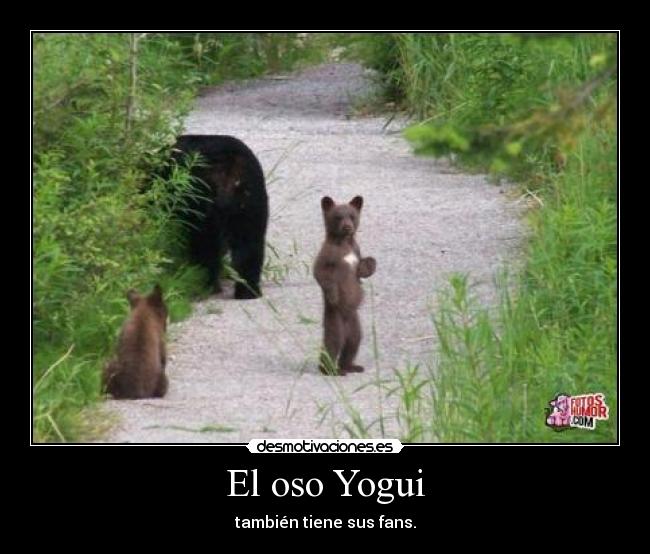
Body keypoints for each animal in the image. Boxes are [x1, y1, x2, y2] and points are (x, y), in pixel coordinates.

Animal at [171, 135, 268, 299]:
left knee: (205, 243)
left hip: (200, 195)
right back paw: (248, 291)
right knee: (251, 243)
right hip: (252, 197)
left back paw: (204, 285)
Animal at [313, 195, 376, 376]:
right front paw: (333, 295)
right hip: (335, 321)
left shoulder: (356, 250)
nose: (347, 227)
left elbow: (363, 266)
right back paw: (330, 370)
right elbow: (321, 273)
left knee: (353, 343)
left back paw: (351, 366)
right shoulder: (327, 254)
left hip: (355, 324)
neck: (344, 244)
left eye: (352, 216)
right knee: (333, 344)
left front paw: (368, 266)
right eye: (338, 217)